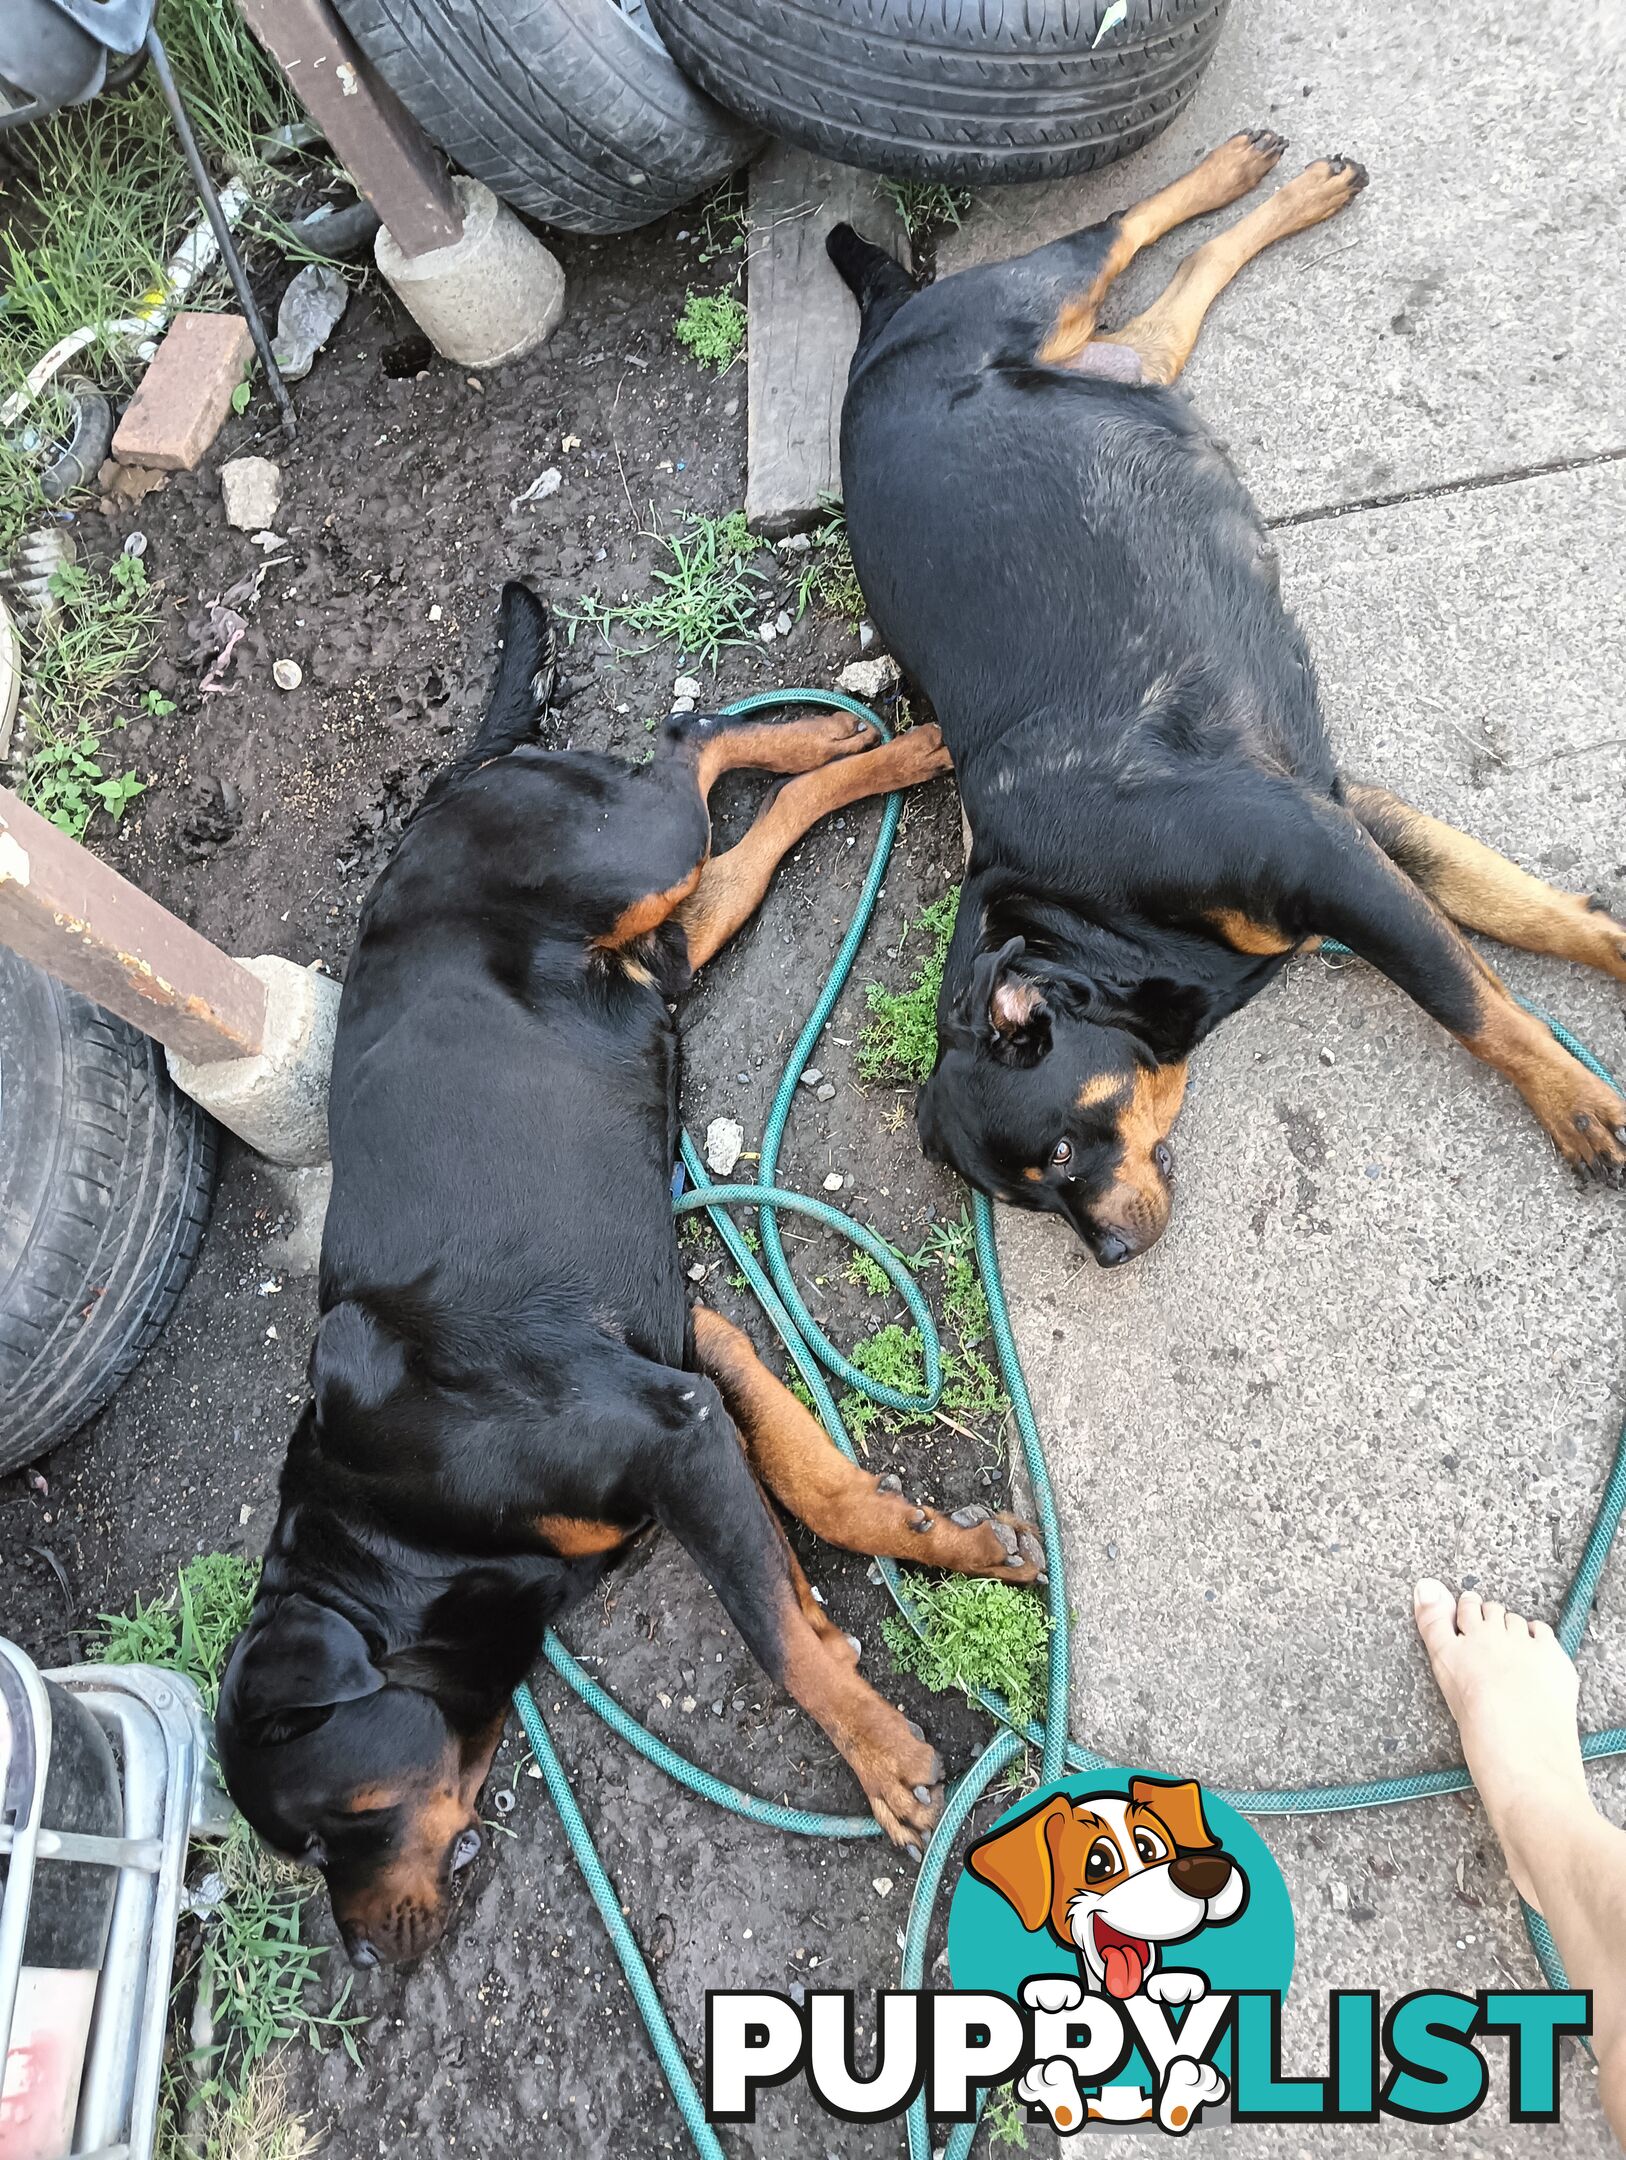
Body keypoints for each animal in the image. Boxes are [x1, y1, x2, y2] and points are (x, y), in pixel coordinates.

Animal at [215, 591, 1045, 1978]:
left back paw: (838, 730)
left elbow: (769, 1632)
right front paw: (938, 1552)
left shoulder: (668, 1426)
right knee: (745, 845)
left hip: (624, 854)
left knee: (684, 751)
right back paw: (859, 751)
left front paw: (876, 1752)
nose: (370, 1960)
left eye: (331, 1831)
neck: (396, 1525)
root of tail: (455, 780)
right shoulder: (690, 1352)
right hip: (655, 945)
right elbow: (812, 1507)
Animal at [829, 135, 1623, 1261]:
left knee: (1118, 229)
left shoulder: (1329, 856)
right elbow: (1520, 913)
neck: (1094, 923)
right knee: (1169, 304)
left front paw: (1577, 1105)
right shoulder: (1347, 814)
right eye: (1028, 1204)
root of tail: (883, 329)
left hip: (1024, 294)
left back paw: (1238, 170)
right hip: (1113, 361)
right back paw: (1283, 187)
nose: (1109, 1256)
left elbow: (1474, 1000)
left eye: (1060, 1154)